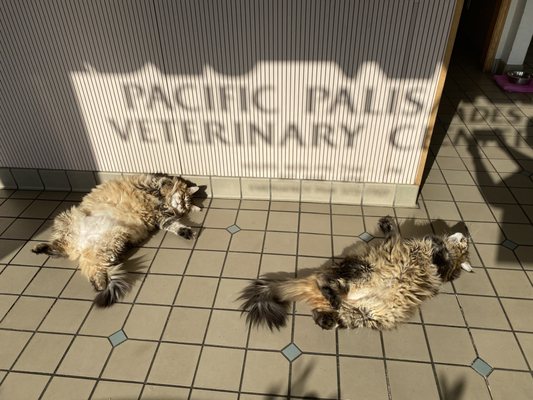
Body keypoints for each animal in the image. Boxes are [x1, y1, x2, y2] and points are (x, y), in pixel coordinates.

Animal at [32, 173, 201, 308]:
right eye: (184, 199)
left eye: (186, 205)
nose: (181, 206)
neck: (163, 204)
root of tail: (81, 247)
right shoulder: (149, 184)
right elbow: (164, 182)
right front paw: (168, 187)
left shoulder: (161, 218)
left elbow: (174, 225)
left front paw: (186, 231)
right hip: (66, 219)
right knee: (62, 246)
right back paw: (40, 248)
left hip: (110, 242)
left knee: (92, 265)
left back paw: (99, 284)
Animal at [239, 217, 472, 330]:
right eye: (465, 242)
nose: (465, 233)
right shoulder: (397, 246)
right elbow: (396, 233)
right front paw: (389, 223)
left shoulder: (440, 268)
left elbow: (440, 256)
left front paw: (438, 245)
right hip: (362, 271)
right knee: (326, 282)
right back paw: (330, 300)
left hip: (365, 314)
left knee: (328, 310)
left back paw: (327, 315)